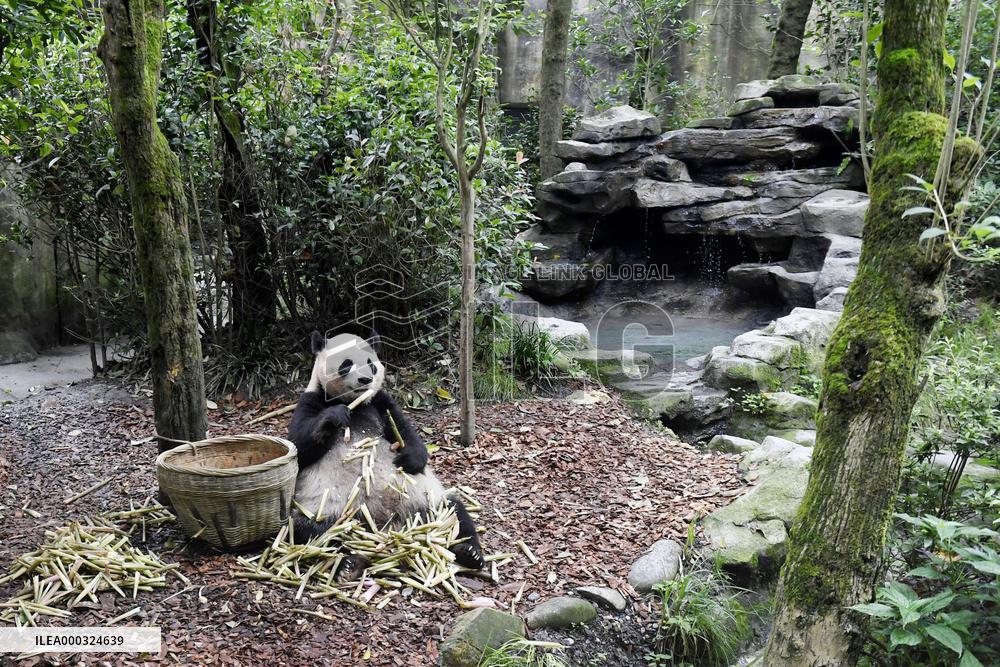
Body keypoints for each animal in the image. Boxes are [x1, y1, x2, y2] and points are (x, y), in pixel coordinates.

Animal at [287, 330, 484, 576]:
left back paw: (470, 553)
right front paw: (334, 416)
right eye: (346, 363)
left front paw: (410, 460)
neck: (354, 403)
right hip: (329, 508)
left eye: (370, 364)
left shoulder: (380, 402)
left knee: (455, 512)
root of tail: (388, 526)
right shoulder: (311, 400)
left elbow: (404, 430)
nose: (365, 380)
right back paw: (349, 563)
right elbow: (300, 446)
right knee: (316, 532)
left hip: (426, 498)